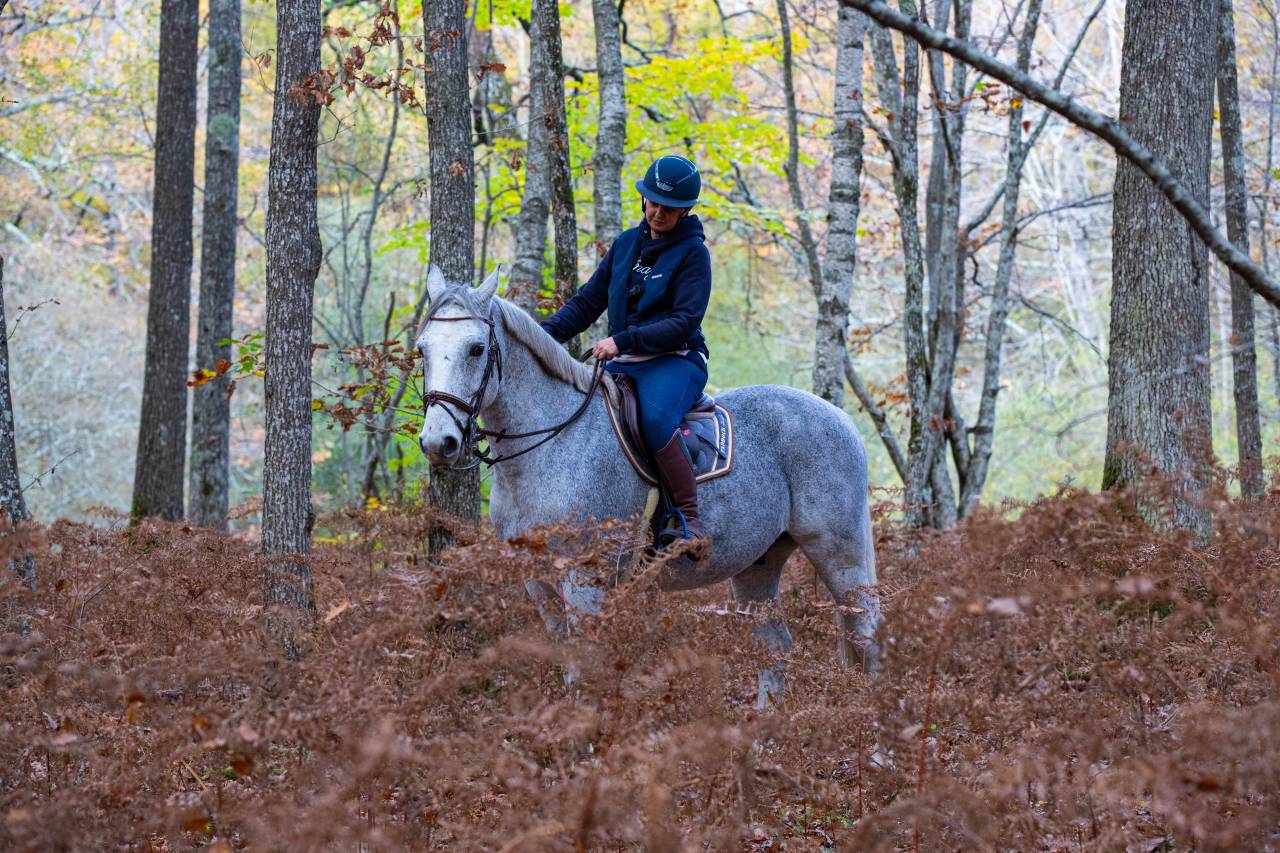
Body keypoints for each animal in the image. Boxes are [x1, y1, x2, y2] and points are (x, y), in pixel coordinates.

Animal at [414, 267, 881, 704]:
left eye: (476, 348)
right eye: (422, 348)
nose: (439, 442)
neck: (555, 443)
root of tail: (840, 418)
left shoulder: (585, 581)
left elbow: (584, 673)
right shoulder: (539, 581)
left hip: (840, 556)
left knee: (869, 637)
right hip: (758, 565)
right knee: (777, 647)